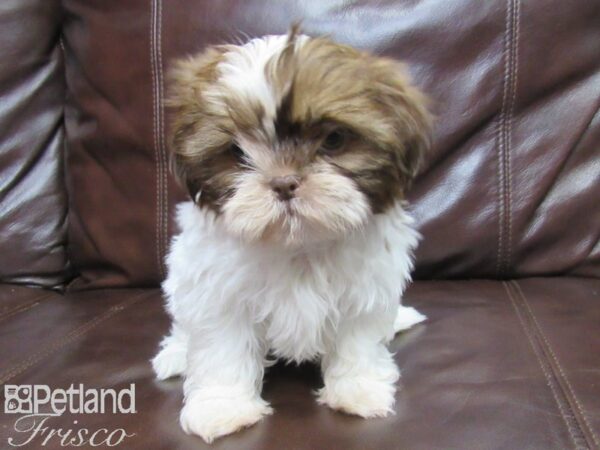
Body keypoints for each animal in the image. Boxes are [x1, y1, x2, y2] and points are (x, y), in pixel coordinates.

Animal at [150, 27, 432, 442]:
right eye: (237, 152)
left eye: (333, 140)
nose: (283, 183)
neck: (298, 244)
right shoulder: (219, 293)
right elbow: (222, 349)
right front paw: (223, 407)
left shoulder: (364, 290)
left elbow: (358, 341)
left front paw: (357, 389)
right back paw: (175, 354)